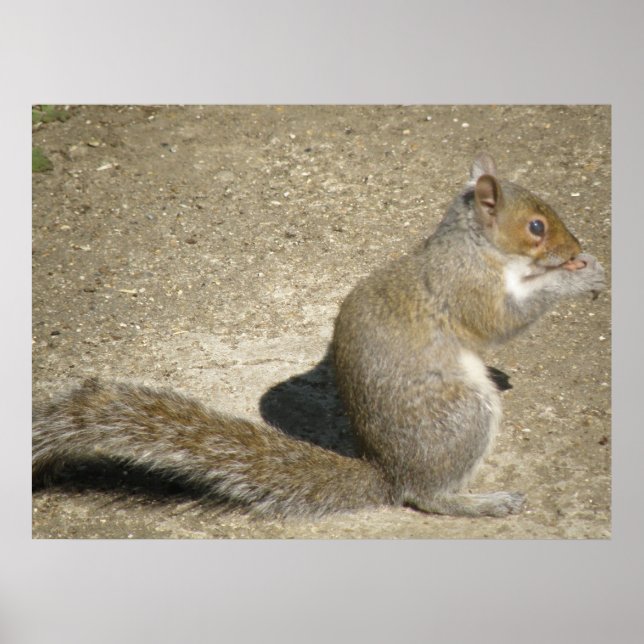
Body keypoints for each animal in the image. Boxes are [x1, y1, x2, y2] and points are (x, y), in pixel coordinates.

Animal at [32, 153, 605, 518]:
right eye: (536, 227)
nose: (577, 247)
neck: (475, 246)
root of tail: (390, 472)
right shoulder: (466, 289)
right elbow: (501, 322)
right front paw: (578, 277)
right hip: (462, 415)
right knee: (427, 497)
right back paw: (481, 502)